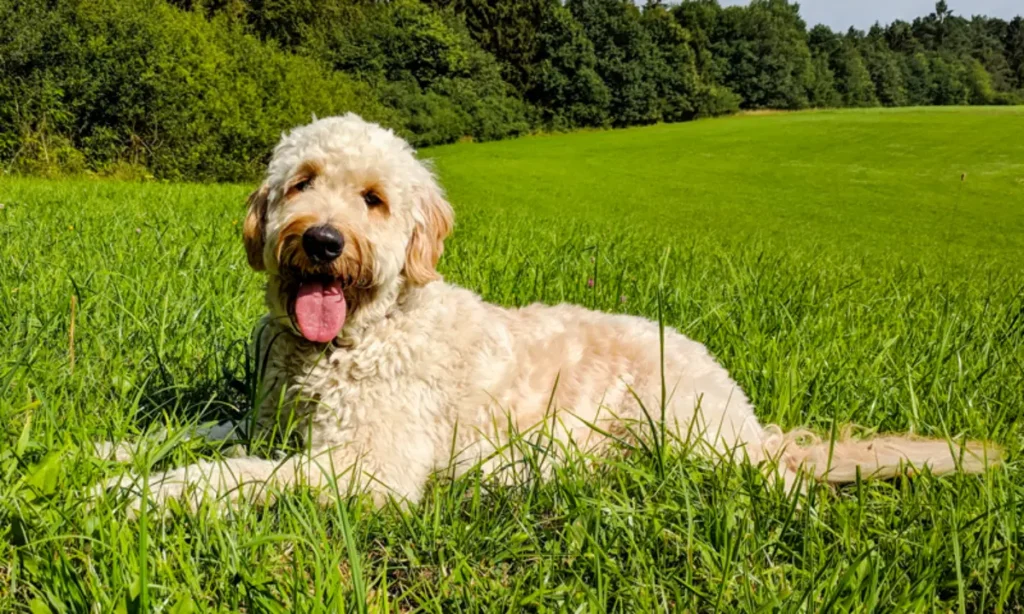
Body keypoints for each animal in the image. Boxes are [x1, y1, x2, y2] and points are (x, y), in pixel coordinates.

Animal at [101, 115, 999, 513]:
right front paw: (111, 450)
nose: (321, 241)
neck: (352, 339)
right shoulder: (269, 420)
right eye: (302, 181)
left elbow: (238, 474)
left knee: (773, 481)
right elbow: (207, 432)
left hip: (694, 437)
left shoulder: (368, 466)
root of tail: (746, 413)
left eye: (374, 200)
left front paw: (141, 492)